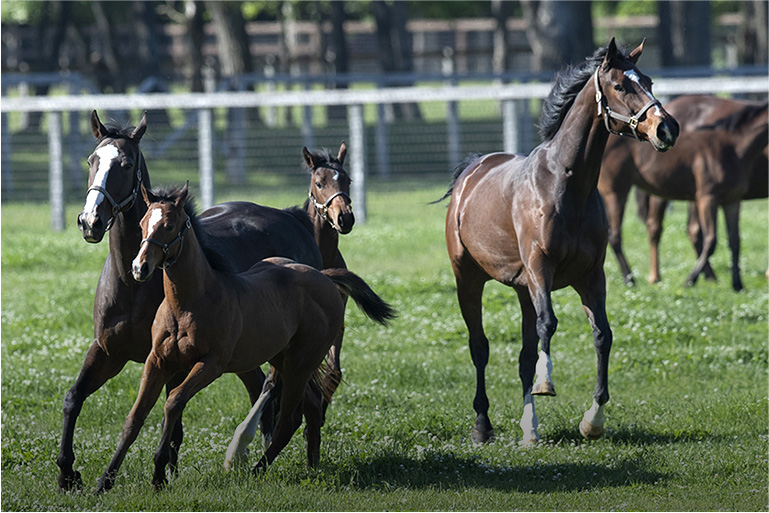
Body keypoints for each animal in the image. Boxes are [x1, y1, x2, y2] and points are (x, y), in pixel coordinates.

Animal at [59, 111, 324, 488]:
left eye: (125, 164)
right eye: (91, 160)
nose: (90, 222)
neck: (132, 286)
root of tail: (293, 218)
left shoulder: (177, 362)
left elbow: (174, 415)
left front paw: (165, 471)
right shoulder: (109, 352)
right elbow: (74, 398)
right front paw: (67, 472)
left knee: (294, 399)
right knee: (269, 392)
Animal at [96, 184, 392, 492]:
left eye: (169, 225)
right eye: (142, 224)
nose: (139, 267)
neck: (191, 301)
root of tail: (323, 276)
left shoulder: (211, 364)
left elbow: (174, 402)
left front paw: (158, 474)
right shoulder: (158, 361)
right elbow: (135, 417)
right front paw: (104, 482)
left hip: (300, 363)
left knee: (288, 419)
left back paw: (256, 469)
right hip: (284, 358)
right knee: (307, 403)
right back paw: (311, 464)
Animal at [438, 40, 680, 446]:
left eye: (647, 81)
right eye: (620, 85)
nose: (667, 128)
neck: (566, 185)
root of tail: (471, 171)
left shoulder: (590, 276)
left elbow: (602, 335)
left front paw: (593, 419)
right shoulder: (541, 268)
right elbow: (549, 325)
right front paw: (546, 385)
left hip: (522, 290)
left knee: (523, 354)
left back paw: (529, 430)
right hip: (468, 279)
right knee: (480, 347)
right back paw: (482, 425)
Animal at [600, 95, 768, 288]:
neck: (733, 147)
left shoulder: (732, 201)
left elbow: (735, 240)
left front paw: (738, 284)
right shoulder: (707, 198)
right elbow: (711, 240)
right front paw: (690, 280)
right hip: (616, 191)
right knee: (616, 235)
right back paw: (631, 279)